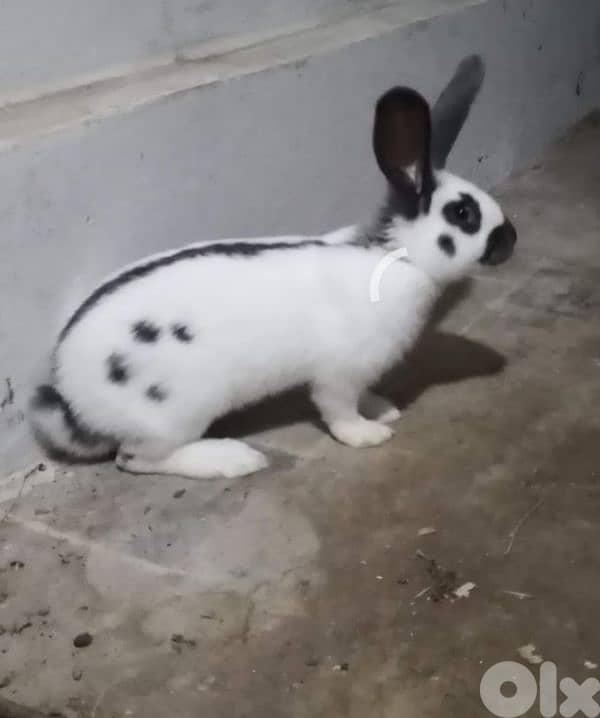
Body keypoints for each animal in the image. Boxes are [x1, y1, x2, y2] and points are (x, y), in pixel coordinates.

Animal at [29, 55, 516, 480]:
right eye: (463, 214)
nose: (511, 240)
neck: (396, 256)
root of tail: (71, 397)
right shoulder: (339, 372)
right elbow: (338, 409)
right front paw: (368, 434)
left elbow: (363, 396)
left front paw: (383, 407)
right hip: (174, 413)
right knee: (136, 459)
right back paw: (233, 459)